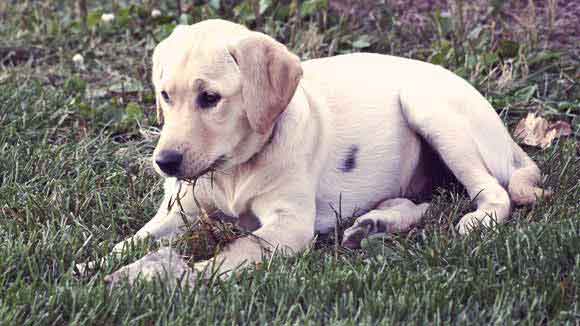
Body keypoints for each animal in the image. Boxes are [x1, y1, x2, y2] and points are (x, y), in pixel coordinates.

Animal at [102, 19, 552, 286]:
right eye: (165, 95)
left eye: (210, 98)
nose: (165, 163)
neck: (233, 170)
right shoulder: (177, 211)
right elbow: (131, 242)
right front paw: (98, 267)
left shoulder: (289, 223)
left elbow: (240, 247)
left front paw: (184, 277)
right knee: (422, 203)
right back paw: (371, 225)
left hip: (431, 110)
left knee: (494, 192)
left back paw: (477, 220)